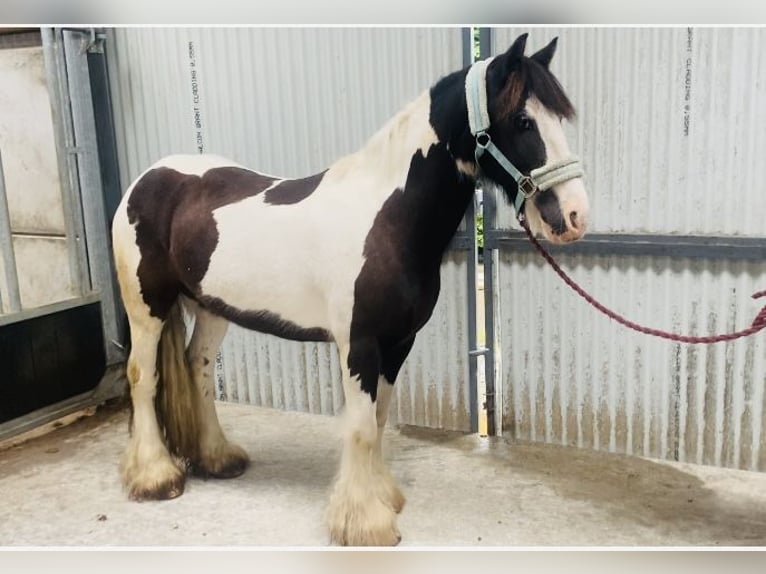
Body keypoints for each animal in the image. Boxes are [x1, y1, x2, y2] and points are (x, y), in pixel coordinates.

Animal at [111, 33, 592, 548]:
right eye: (523, 120)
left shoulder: (399, 343)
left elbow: (378, 420)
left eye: (560, 118)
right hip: (147, 308)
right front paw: (364, 522)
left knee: (197, 369)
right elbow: (360, 428)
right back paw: (155, 476)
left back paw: (218, 458)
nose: (575, 216)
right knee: (143, 378)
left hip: (212, 308)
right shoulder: (358, 344)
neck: (388, 218)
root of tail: (146, 179)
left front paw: (384, 497)